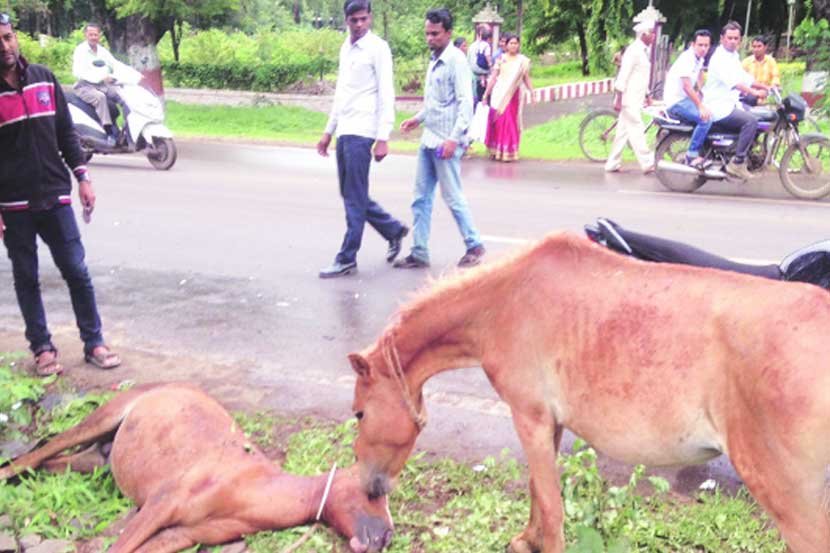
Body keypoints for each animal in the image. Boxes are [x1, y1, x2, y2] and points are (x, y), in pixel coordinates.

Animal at [0, 382, 394, 552]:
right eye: (373, 494)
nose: (387, 536)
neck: (253, 490)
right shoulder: (161, 503)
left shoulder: (182, 535)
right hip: (106, 415)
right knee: (44, 449)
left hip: (96, 459)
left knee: (50, 462)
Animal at [348, 232, 830, 552]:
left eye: (359, 414)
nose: (369, 488)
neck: (503, 302)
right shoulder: (549, 422)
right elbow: (537, 490)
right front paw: (527, 539)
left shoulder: (529, 417)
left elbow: (551, 502)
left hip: (792, 501)